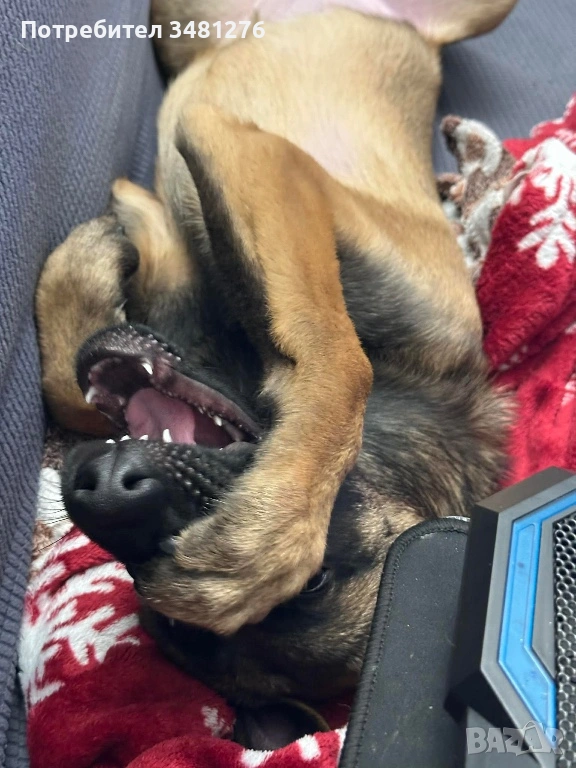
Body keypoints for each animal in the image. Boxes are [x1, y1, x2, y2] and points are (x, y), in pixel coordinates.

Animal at [35, 0, 516, 740]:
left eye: (173, 622)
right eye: (312, 579)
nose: (106, 489)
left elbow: (77, 377)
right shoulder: (262, 162)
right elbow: (340, 362)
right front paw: (272, 529)